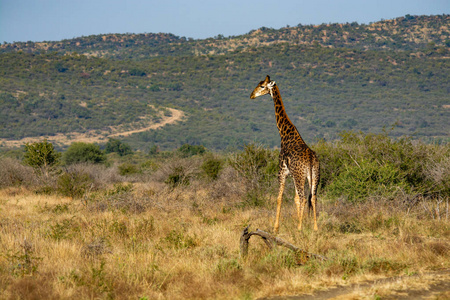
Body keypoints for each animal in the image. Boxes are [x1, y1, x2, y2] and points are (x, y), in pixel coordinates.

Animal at [250, 75, 320, 234]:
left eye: (262, 86)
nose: (251, 95)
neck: (284, 132)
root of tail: (311, 159)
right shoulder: (292, 174)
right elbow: (294, 199)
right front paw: (298, 222)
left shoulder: (282, 171)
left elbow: (279, 198)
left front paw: (276, 228)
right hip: (314, 175)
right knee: (313, 197)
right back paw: (315, 228)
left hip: (300, 176)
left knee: (303, 198)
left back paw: (300, 229)